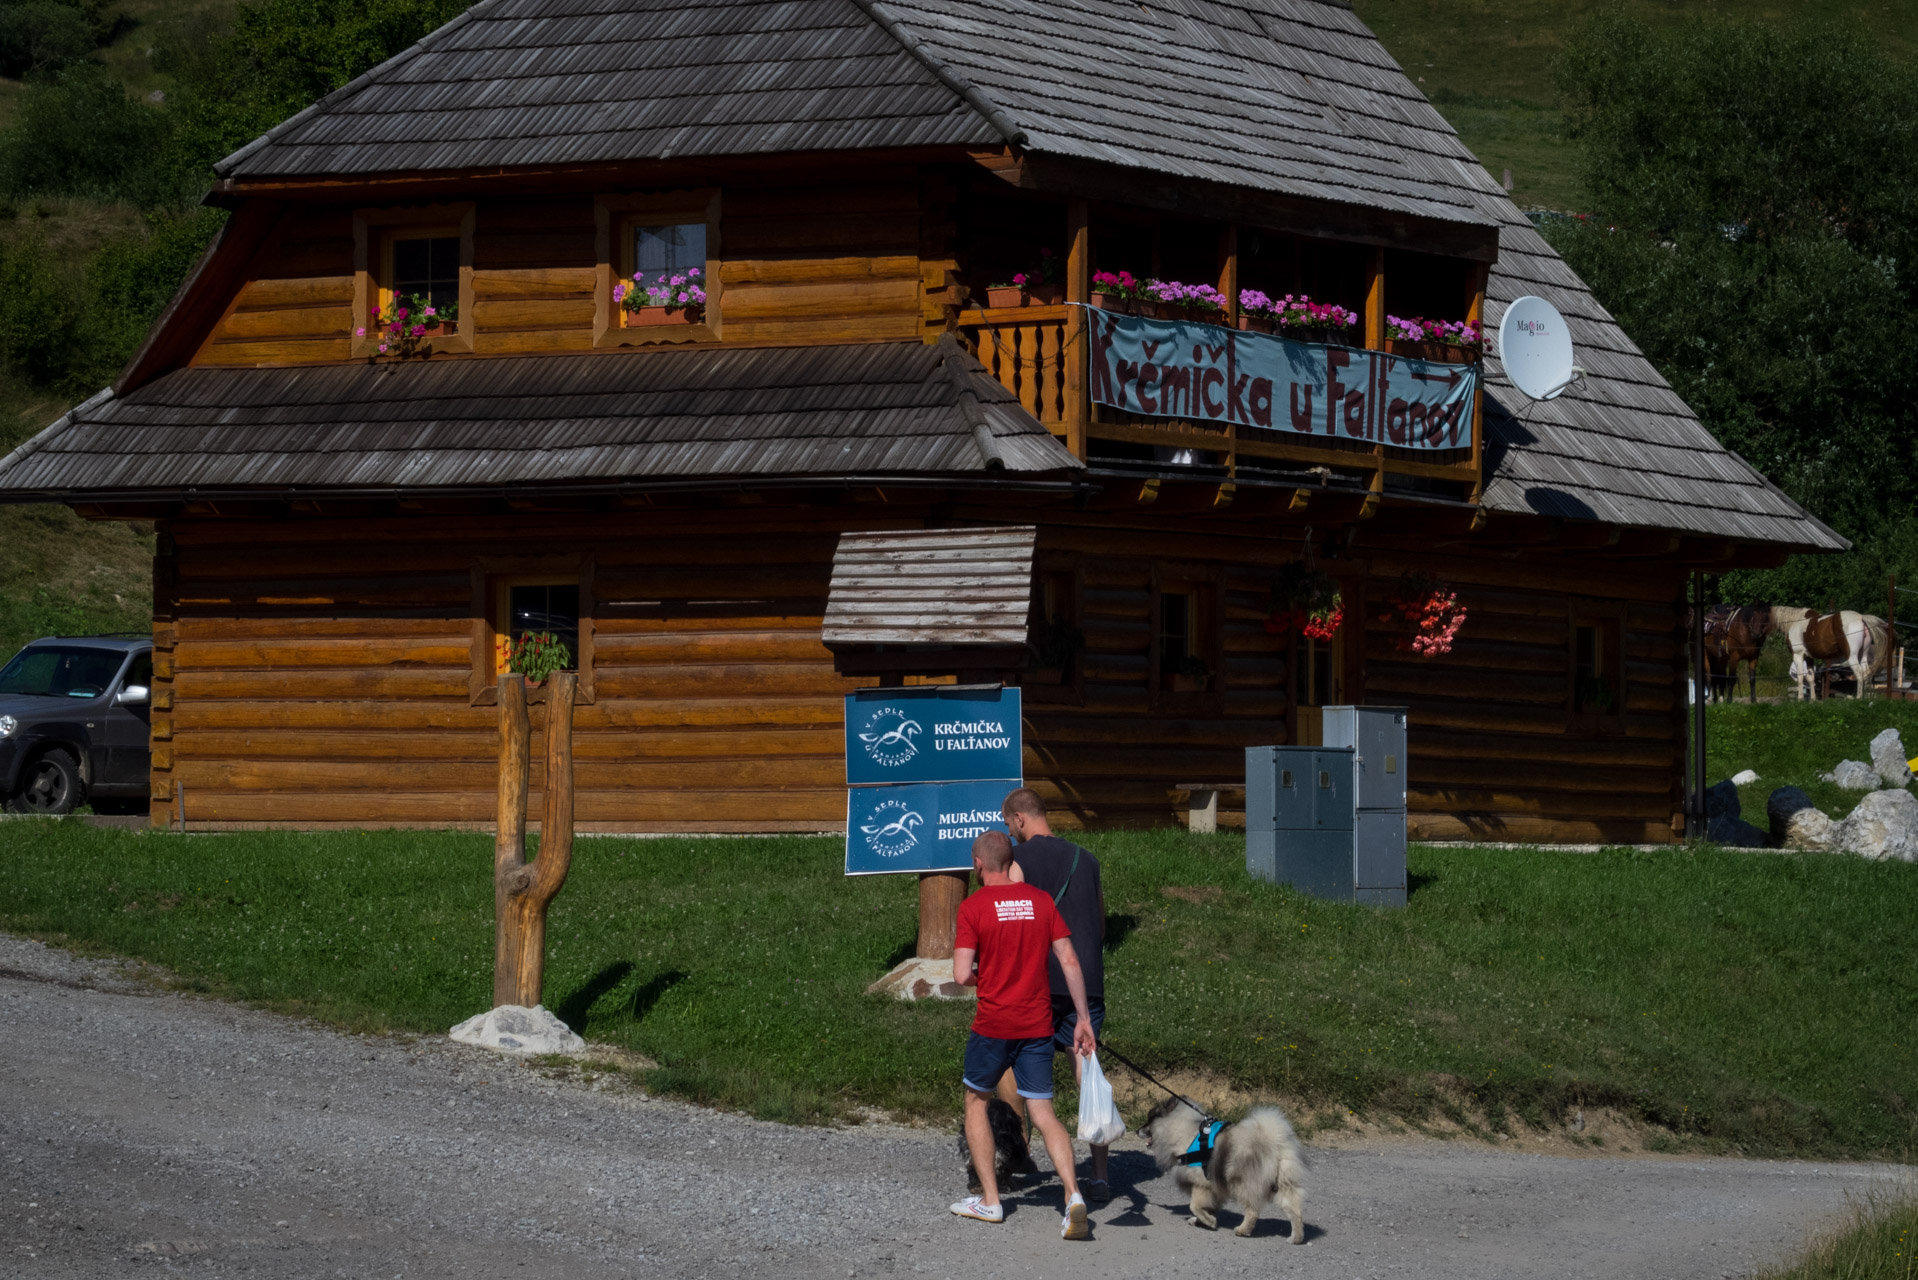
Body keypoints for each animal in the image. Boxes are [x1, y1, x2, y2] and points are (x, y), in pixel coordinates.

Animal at [1143, 1090, 1311, 1243]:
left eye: (1149, 1120)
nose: (1138, 1130)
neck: (1181, 1132)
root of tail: (1274, 1140)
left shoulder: (1201, 1183)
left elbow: (1194, 1206)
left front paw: (1209, 1222)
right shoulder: (1213, 1189)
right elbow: (1206, 1208)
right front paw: (1201, 1221)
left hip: (1243, 1184)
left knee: (1253, 1211)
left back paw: (1242, 1230)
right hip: (1283, 1184)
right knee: (1295, 1211)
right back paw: (1296, 1238)